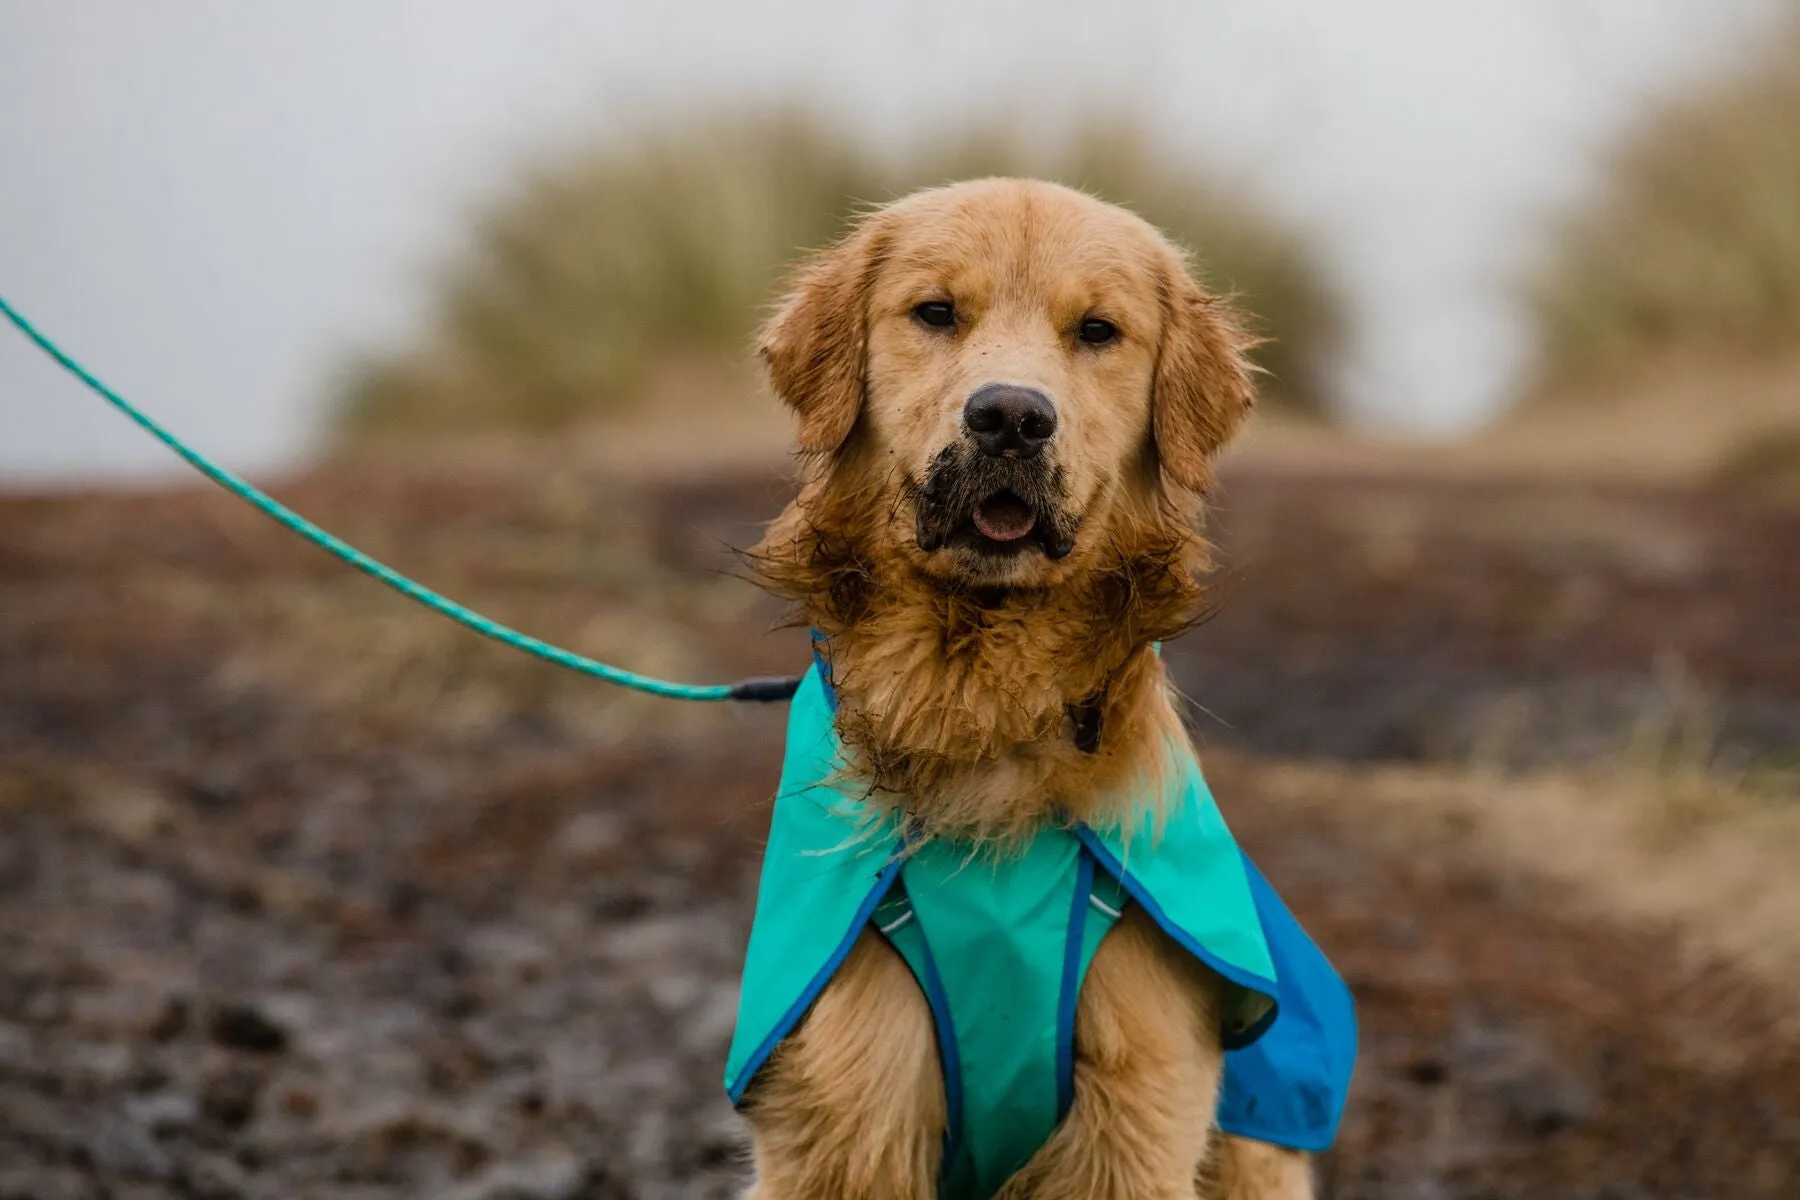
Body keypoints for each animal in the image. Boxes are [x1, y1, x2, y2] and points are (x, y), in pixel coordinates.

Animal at [727, 178, 1324, 1200]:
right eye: (935, 313)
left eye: (1097, 330)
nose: (1010, 417)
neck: (985, 699)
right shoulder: (849, 1110)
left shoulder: (1137, 1105)